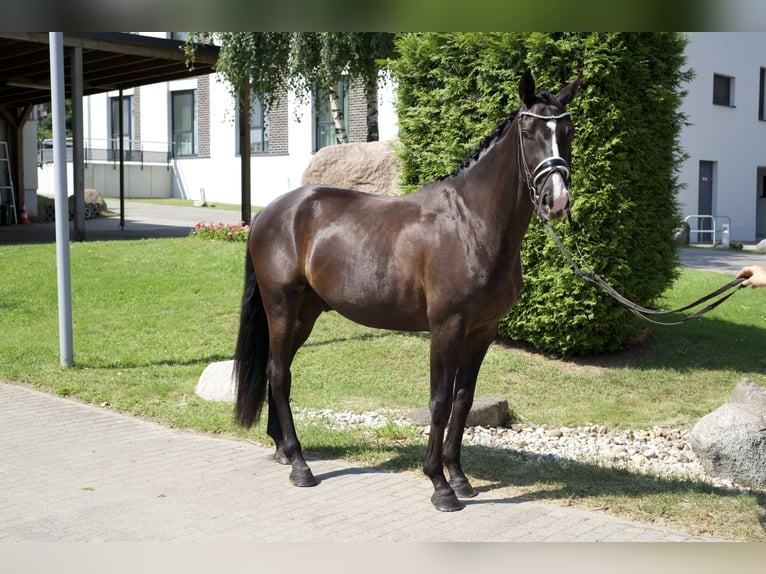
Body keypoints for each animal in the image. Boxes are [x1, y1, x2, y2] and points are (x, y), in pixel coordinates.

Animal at [234, 71, 584, 512]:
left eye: (568, 131)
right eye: (528, 131)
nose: (557, 201)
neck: (471, 222)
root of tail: (268, 213)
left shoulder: (482, 331)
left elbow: (463, 400)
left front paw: (460, 477)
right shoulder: (446, 327)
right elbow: (439, 401)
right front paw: (440, 485)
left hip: (305, 315)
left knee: (275, 370)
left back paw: (282, 448)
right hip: (281, 307)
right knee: (280, 375)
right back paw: (300, 465)